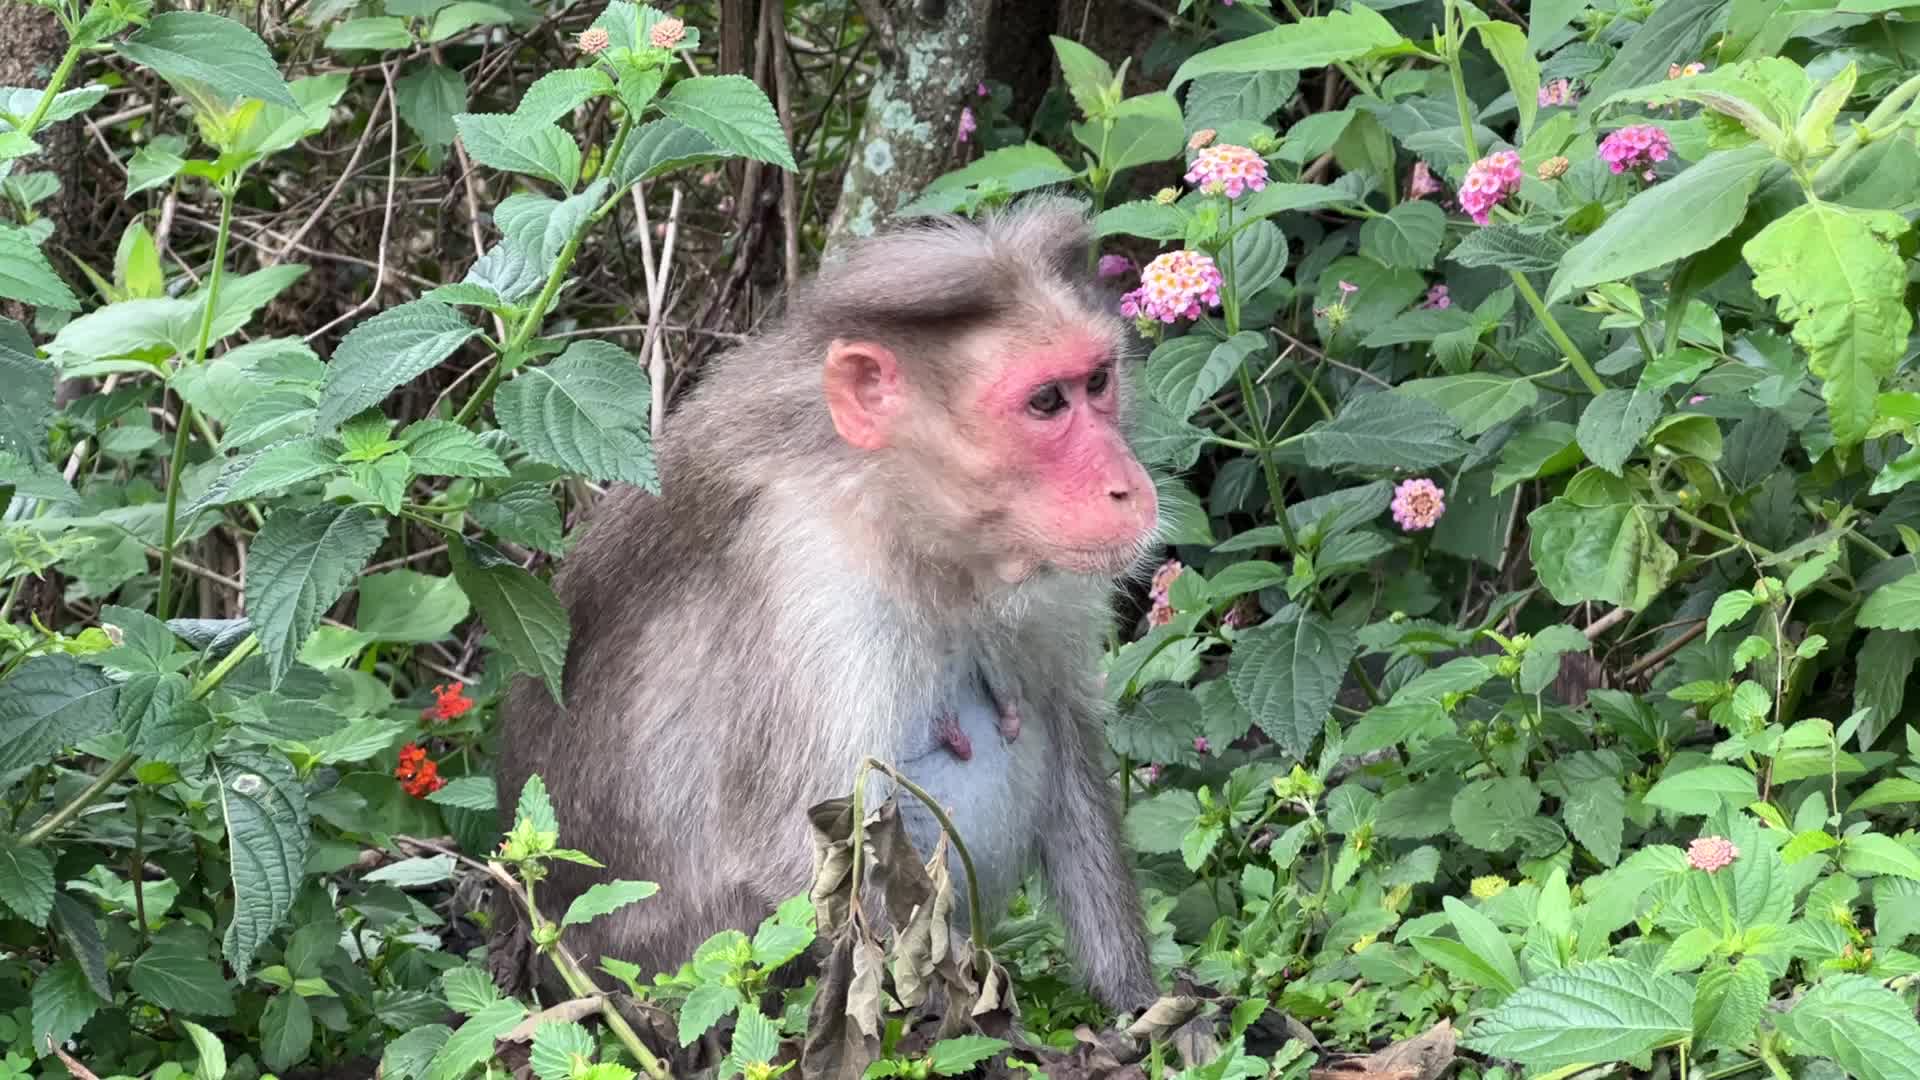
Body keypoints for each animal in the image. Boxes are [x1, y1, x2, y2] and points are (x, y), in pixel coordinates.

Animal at [493, 195, 1185, 1034]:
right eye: (1046, 402)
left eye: (1098, 381)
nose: (1126, 485)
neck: (902, 518)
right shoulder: (816, 594)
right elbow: (802, 872)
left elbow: (1067, 747)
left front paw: (1150, 1013)